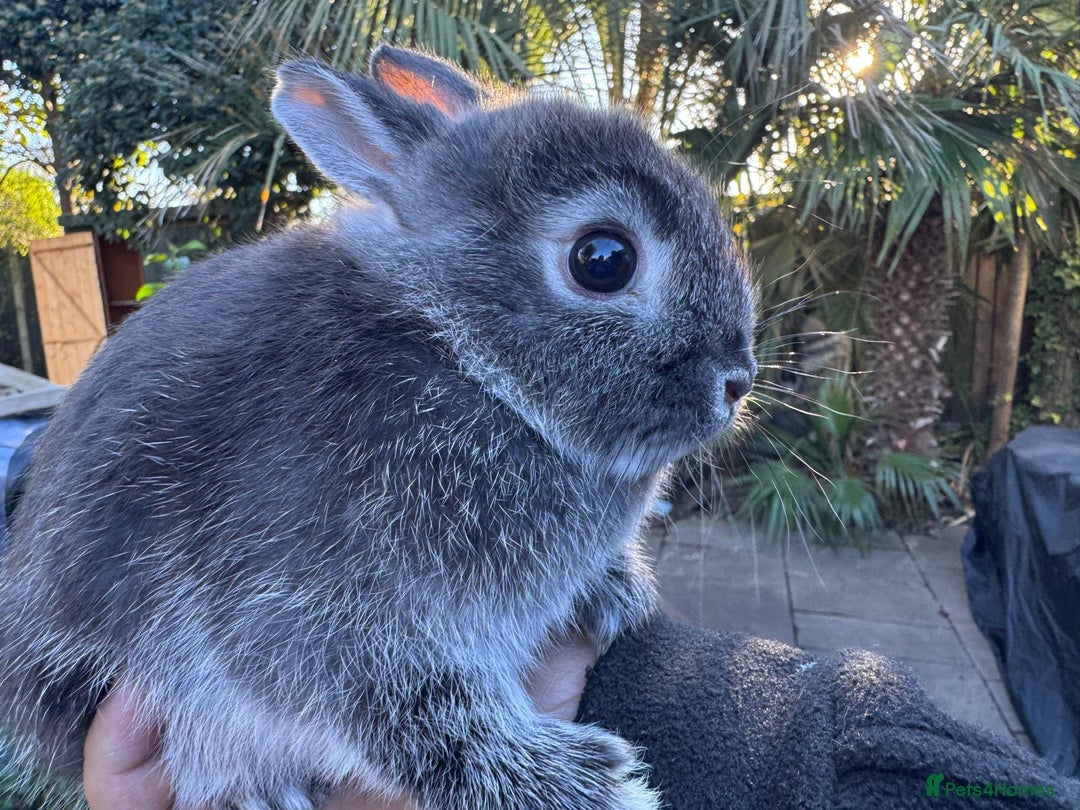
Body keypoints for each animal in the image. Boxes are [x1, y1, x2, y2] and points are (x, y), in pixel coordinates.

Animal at [0, 45, 757, 810]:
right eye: (604, 259)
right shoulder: (313, 602)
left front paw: (620, 591)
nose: (739, 381)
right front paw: (587, 783)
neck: (466, 356)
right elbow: (409, 712)